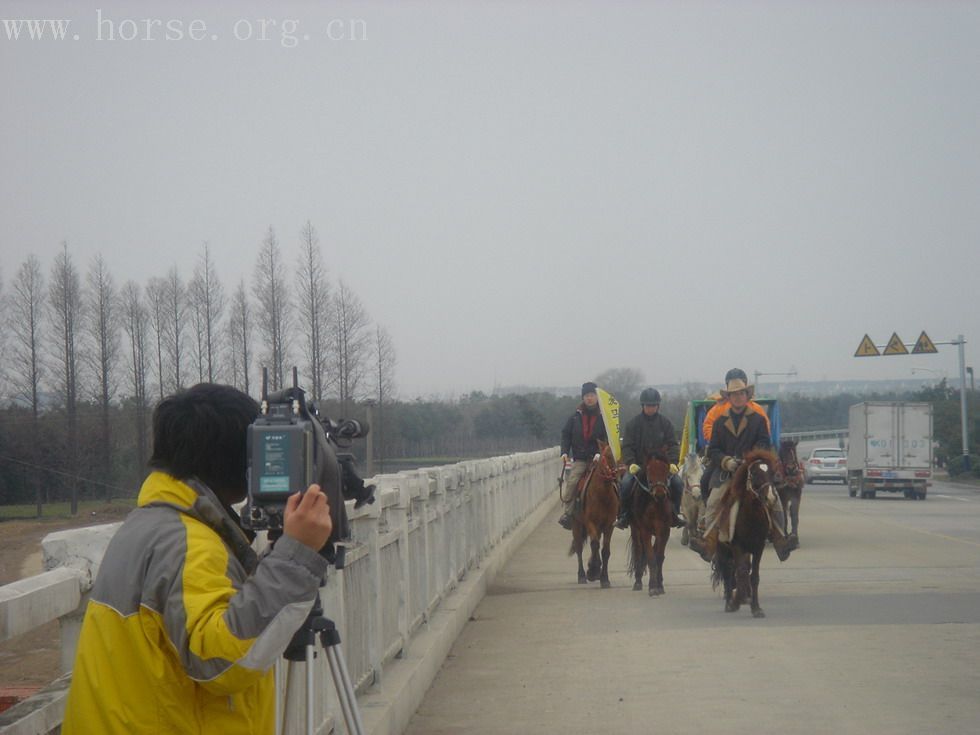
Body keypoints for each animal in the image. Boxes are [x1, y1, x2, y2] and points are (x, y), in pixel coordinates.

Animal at [568, 440, 620, 588]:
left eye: (614, 456)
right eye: (605, 457)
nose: (615, 474)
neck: (602, 496)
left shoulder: (609, 525)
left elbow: (605, 551)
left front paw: (604, 578)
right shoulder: (591, 523)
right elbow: (595, 544)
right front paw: (593, 571)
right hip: (576, 524)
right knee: (579, 547)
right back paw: (582, 575)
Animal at [628, 452, 672, 596]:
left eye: (666, 470)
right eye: (649, 471)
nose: (660, 494)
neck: (655, 504)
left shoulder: (664, 530)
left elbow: (659, 557)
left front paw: (659, 585)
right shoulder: (645, 530)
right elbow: (651, 557)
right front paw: (653, 587)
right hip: (635, 529)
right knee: (638, 550)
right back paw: (637, 582)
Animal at [708, 452, 776, 620]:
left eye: (772, 473)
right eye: (755, 473)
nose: (771, 498)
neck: (751, 516)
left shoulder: (758, 547)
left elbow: (754, 576)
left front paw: (756, 608)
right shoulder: (737, 545)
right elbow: (741, 573)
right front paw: (736, 602)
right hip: (723, 548)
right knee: (727, 570)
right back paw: (729, 602)